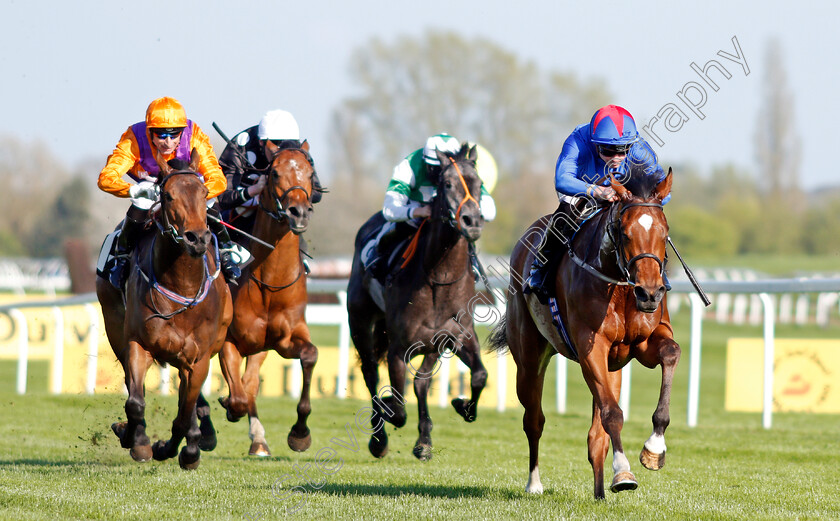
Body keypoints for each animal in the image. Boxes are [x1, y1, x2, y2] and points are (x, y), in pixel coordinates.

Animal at [96, 148, 233, 470]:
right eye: (168, 195)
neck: (182, 288)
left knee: (189, 404)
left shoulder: (198, 359)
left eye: (204, 192)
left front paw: (181, 450)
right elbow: (135, 402)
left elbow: (184, 415)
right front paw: (139, 441)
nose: (197, 238)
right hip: (115, 328)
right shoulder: (139, 343)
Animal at [217, 137, 318, 456]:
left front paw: (300, 433)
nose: (299, 212)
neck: (270, 283)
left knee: (250, 383)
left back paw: (258, 441)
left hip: (260, 347)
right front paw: (227, 404)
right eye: (274, 173)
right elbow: (237, 398)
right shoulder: (228, 340)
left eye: (310, 173)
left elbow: (310, 355)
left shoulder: (283, 340)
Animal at [348, 142, 488, 460]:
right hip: (359, 321)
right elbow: (398, 407)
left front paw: (463, 406)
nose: (472, 221)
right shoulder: (399, 349)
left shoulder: (456, 336)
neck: (439, 278)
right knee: (371, 374)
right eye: (447, 184)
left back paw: (424, 440)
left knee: (421, 383)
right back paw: (379, 438)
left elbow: (479, 376)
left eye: (479, 184)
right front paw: (386, 414)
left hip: (433, 345)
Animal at [488, 165, 680, 498]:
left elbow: (671, 353)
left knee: (596, 434)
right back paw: (534, 483)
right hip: (529, 359)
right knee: (534, 420)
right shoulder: (592, 347)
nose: (650, 293)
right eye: (626, 233)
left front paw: (654, 448)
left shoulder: (642, 343)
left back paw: (600, 491)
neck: (619, 284)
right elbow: (613, 413)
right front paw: (624, 472)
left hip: (613, 368)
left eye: (664, 232)